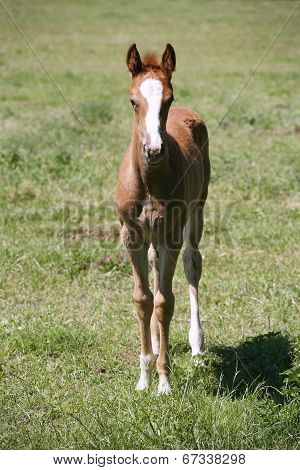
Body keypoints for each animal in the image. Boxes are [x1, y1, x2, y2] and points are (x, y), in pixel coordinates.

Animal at [115, 43, 211, 392]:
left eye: (168, 99)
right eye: (133, 101)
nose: (154, 150)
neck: (148, 183)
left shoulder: (171, 233)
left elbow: (165, 302)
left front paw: (164, 381)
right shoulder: (131, 235)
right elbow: (143, 300)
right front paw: (144, 377)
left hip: (197, 210)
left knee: (192, 264)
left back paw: (196, 345)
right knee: (156, 267)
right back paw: (156, 344)